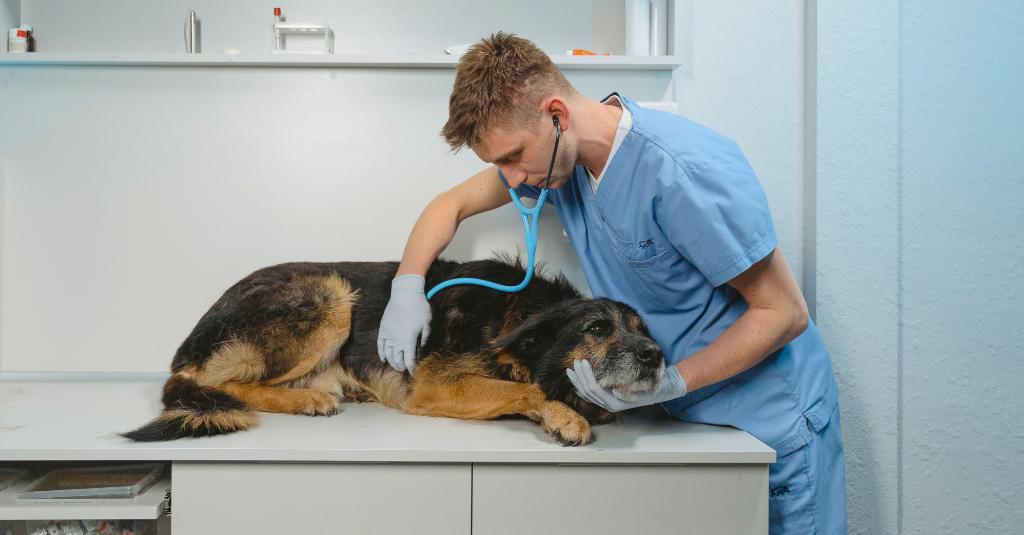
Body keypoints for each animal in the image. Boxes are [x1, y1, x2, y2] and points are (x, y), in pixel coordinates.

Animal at [123, 256, 667, 442]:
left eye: (644, 329)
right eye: (597, 328)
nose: (655, 356)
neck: (518, 316)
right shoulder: (434, 387)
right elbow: (531, 391)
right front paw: (565, 416)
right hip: (330, 292)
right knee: (220, 383)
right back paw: (307, 398)